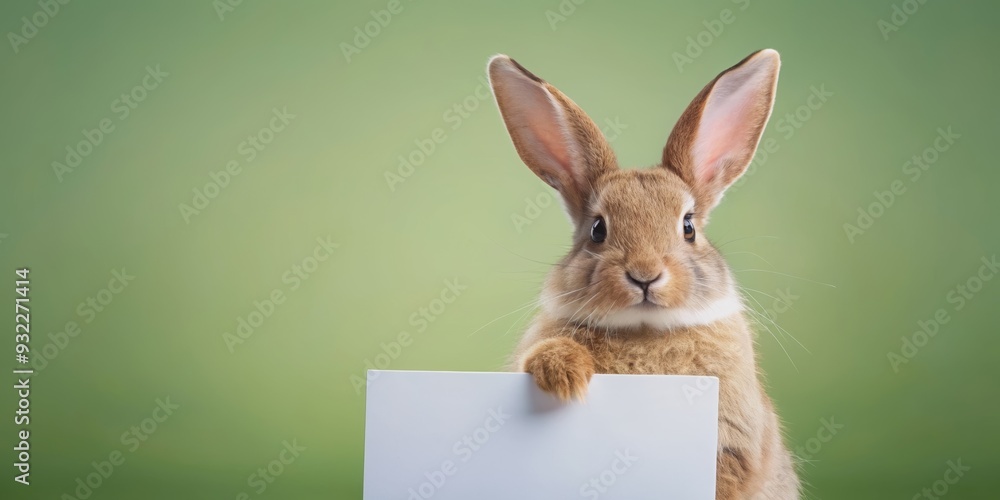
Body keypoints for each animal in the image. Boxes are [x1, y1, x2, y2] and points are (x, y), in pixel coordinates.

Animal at [487, 49, 800, 499]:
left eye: (688, 227)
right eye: (597, 230)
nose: (645, 275)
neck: (644, 330)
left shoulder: (735, 441)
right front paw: (563, 375)